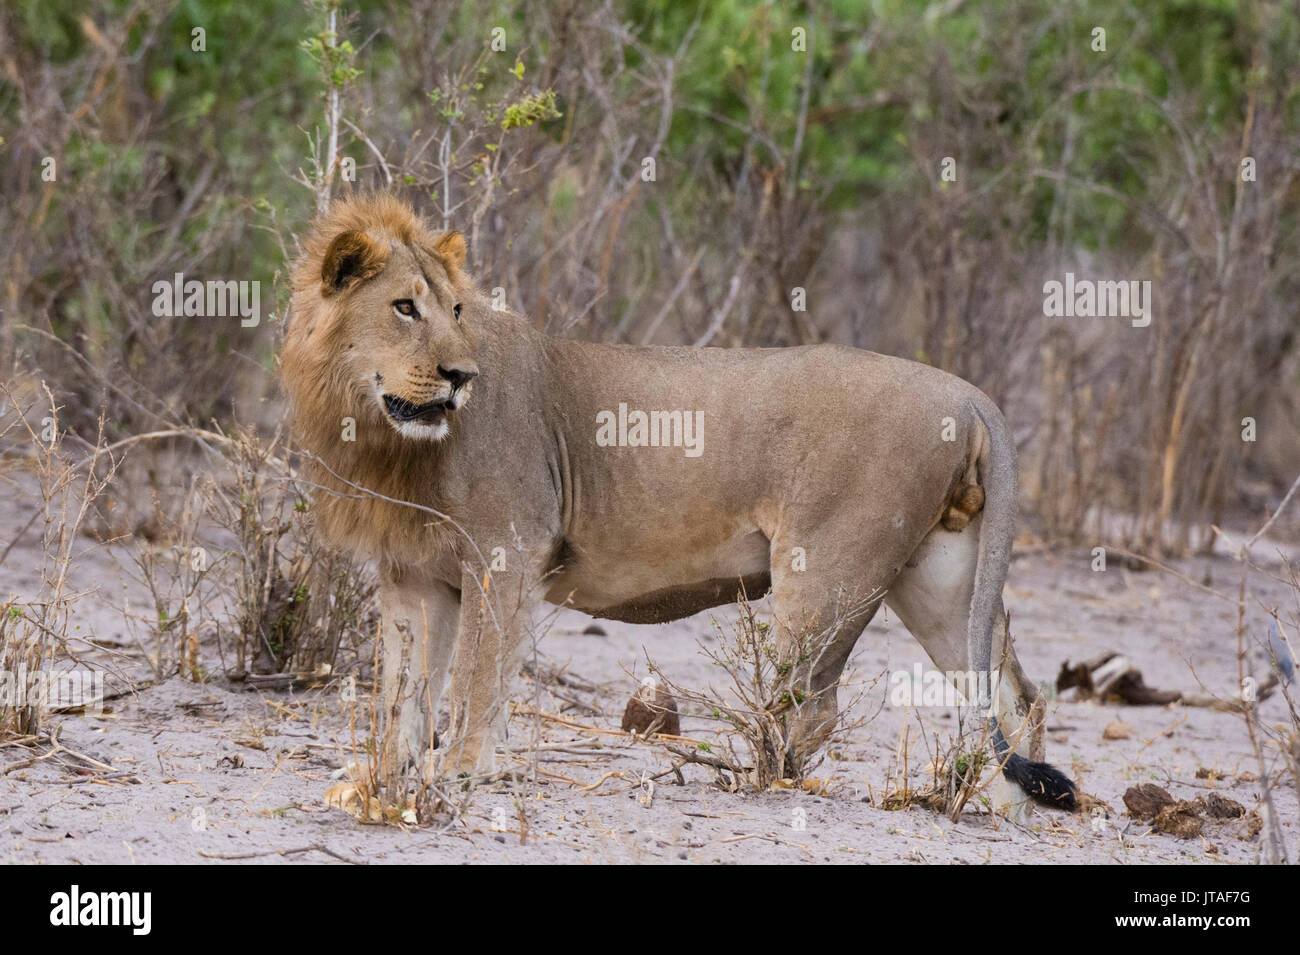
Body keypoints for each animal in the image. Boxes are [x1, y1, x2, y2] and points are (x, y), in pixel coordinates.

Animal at [284, 192, 1076, 815]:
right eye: (404, 308)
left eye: (454, 309)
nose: (460, 375)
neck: (380, 435)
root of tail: (969, 394)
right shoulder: (413, 576)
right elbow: (401, 691)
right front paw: (384, 780)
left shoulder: (505, 552)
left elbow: (476, 678)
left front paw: (460, 772)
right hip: (941, 577)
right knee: (1013, 695)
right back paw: (1003, 809)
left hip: (826, 574)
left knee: (811, 707)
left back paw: (766, 783)